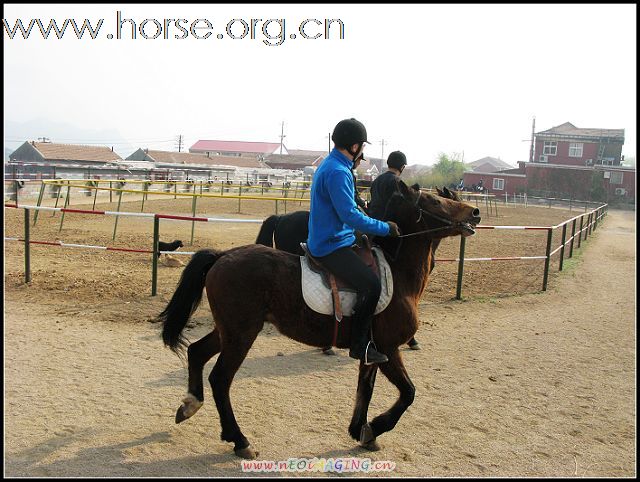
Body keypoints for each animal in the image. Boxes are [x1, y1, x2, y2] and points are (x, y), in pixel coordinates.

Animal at [159, 182, 480, 460]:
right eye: (436, 201)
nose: (475, 213)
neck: (396, 271)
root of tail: (223, 255)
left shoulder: (371, 351)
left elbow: (365, 390)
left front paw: (361, 430)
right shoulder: (389, 349)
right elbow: (408, 393)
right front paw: (375, 428)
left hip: (229, 330)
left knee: (196, 352)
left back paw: (190, 405)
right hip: (241, 334)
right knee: (220, 379)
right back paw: (240, 440)